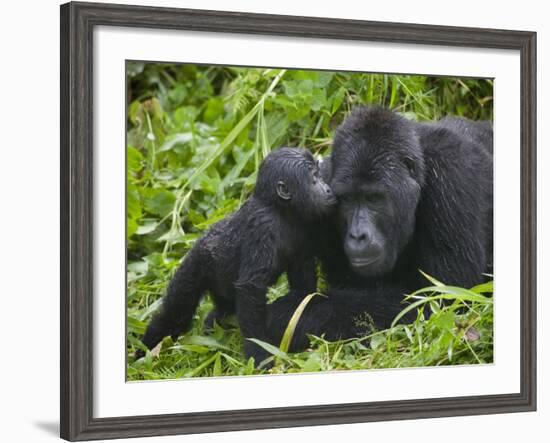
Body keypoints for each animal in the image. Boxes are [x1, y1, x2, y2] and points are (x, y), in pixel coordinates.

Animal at [138, 147, 336, 366]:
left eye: (319, 175)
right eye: (314, 178)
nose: (328, 189)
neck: (280, 209)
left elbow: (302, 284)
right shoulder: (263, 226)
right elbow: (251, 288)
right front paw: (259, 352)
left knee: (223, 309)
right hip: (195, 264)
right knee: (175, 313)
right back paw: (145, 351)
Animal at [268, 106, 496, 352]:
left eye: (374, 198)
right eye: (347, 199)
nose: (358, 235)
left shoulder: (452, 175)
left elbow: (442, 299)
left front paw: (287, 315)